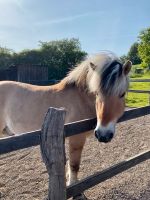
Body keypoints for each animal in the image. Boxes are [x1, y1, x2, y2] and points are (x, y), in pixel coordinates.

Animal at [0, 52, 131, 186]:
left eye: (122, 94)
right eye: (97, 93)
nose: (103, 135)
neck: (80, 99)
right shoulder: (76, 139)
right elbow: (74, 165)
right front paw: (72, 185)